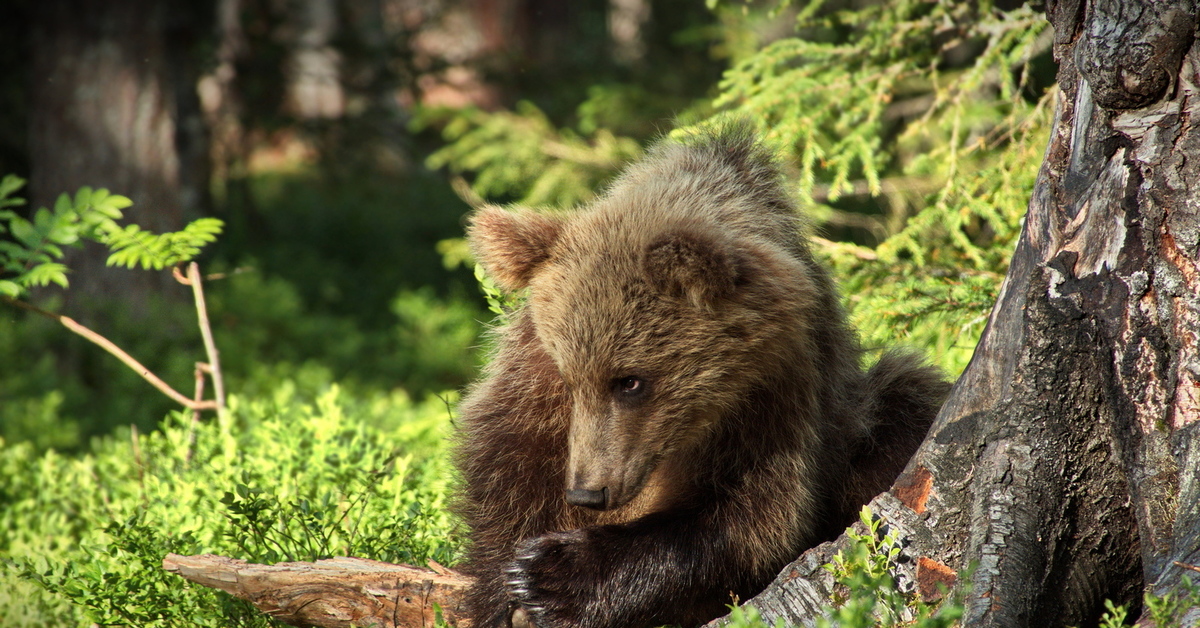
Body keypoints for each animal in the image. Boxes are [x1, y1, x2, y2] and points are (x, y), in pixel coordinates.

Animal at [453, 125, 950, 628]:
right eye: (571, 377)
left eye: (630, 380)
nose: (589, 492)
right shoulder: (535, 385)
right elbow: (508, 469)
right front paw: (506, 589)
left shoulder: (777, 395)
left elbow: (746, 520)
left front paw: (554, 575)